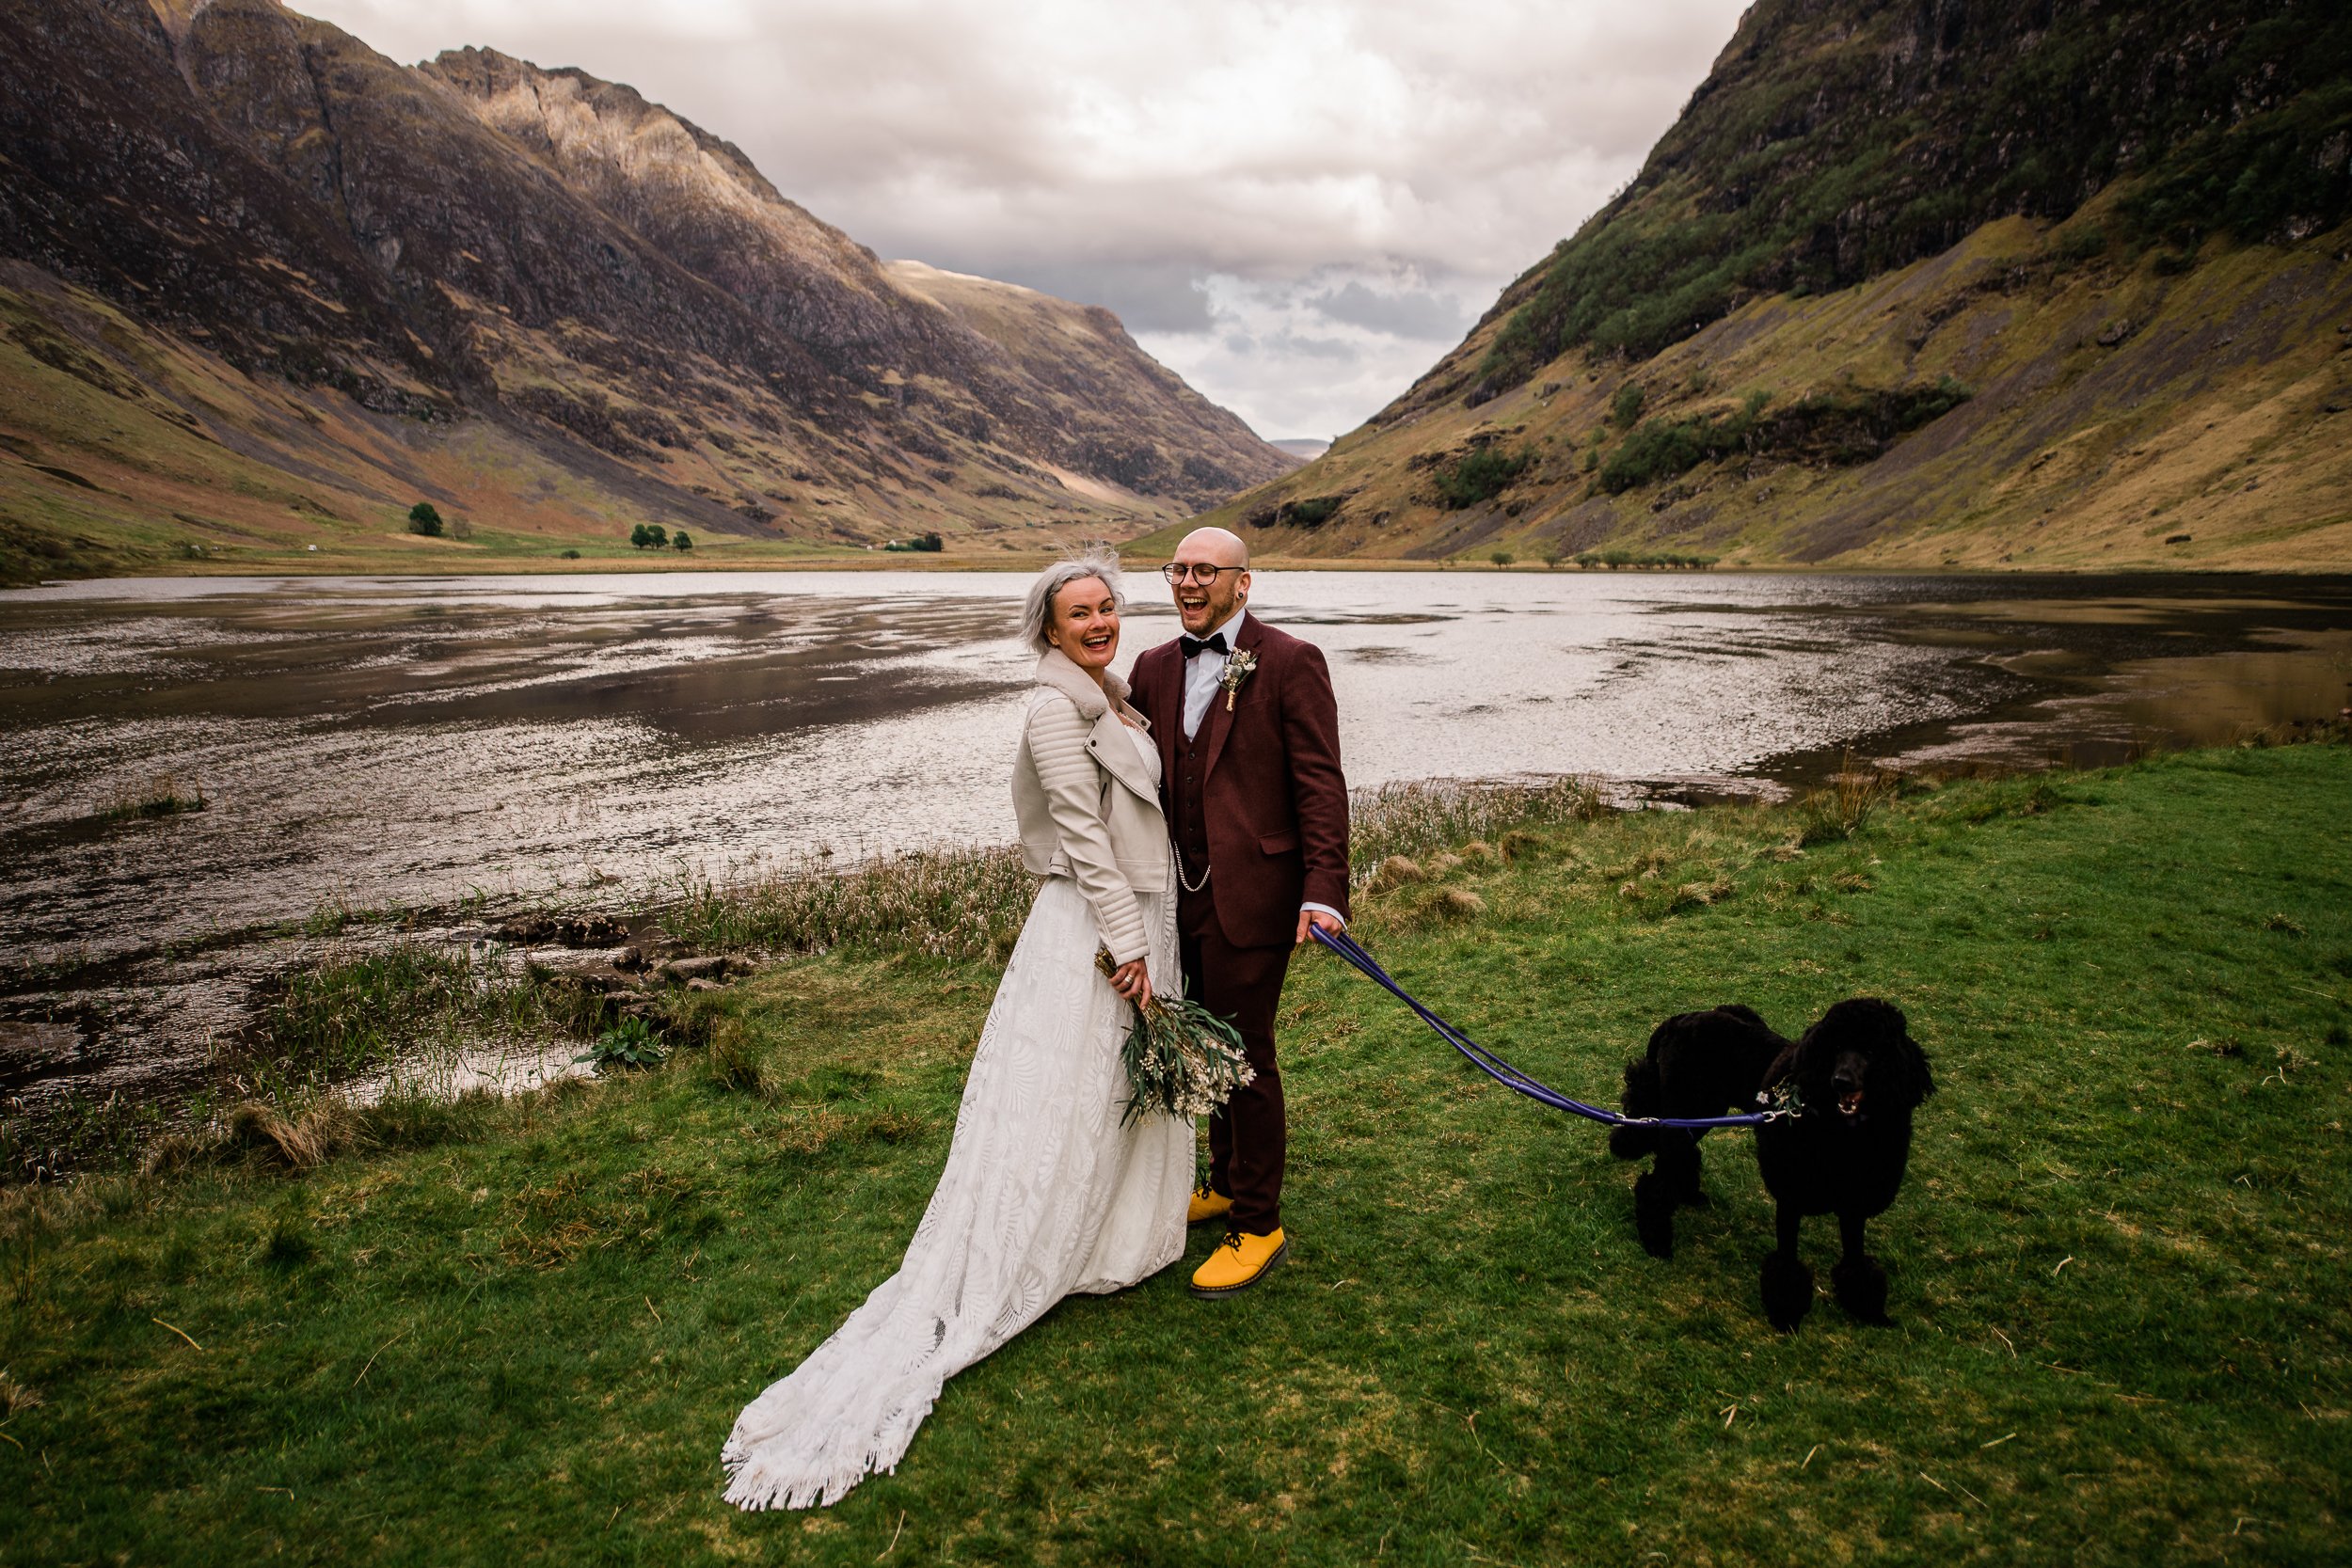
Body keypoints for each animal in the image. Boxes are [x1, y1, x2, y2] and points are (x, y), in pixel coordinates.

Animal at [1759, 1001, 1938, 1335]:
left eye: (1871, 1051)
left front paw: (1867, 1307)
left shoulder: (1855, 1204)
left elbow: (1855, 1259)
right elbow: (1786, 1263)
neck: (1842, 1133)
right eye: (1837, 1047)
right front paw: (1786, 1314)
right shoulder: (1791, 1198)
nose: (1841, 1080)